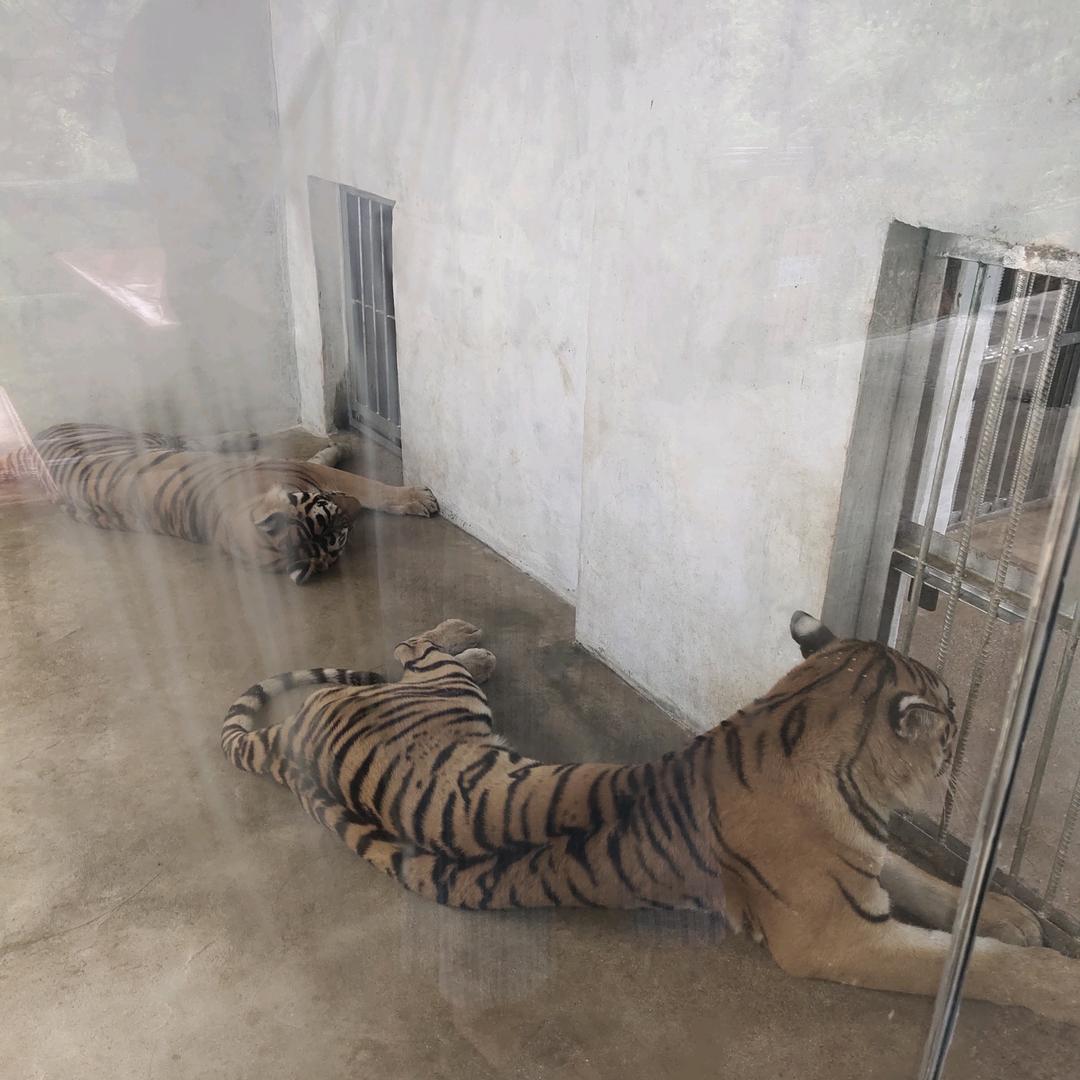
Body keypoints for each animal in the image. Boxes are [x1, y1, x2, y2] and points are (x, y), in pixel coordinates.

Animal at [0, 422, 438, 584]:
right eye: (333, 523)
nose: (355, 511)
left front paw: (337, 446)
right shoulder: (303, 471)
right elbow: (364, 483)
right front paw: (419, 497)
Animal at [220, 612, 1080, 1024]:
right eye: (952, 716)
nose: (962, 741)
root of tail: (289, 740)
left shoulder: (865, 859)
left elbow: (932, 883)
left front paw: (1013, 915)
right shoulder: (836, 936)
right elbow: (974, 967)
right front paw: (1054, 980)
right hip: (441, 696)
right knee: (415, 648)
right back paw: (471, 641)